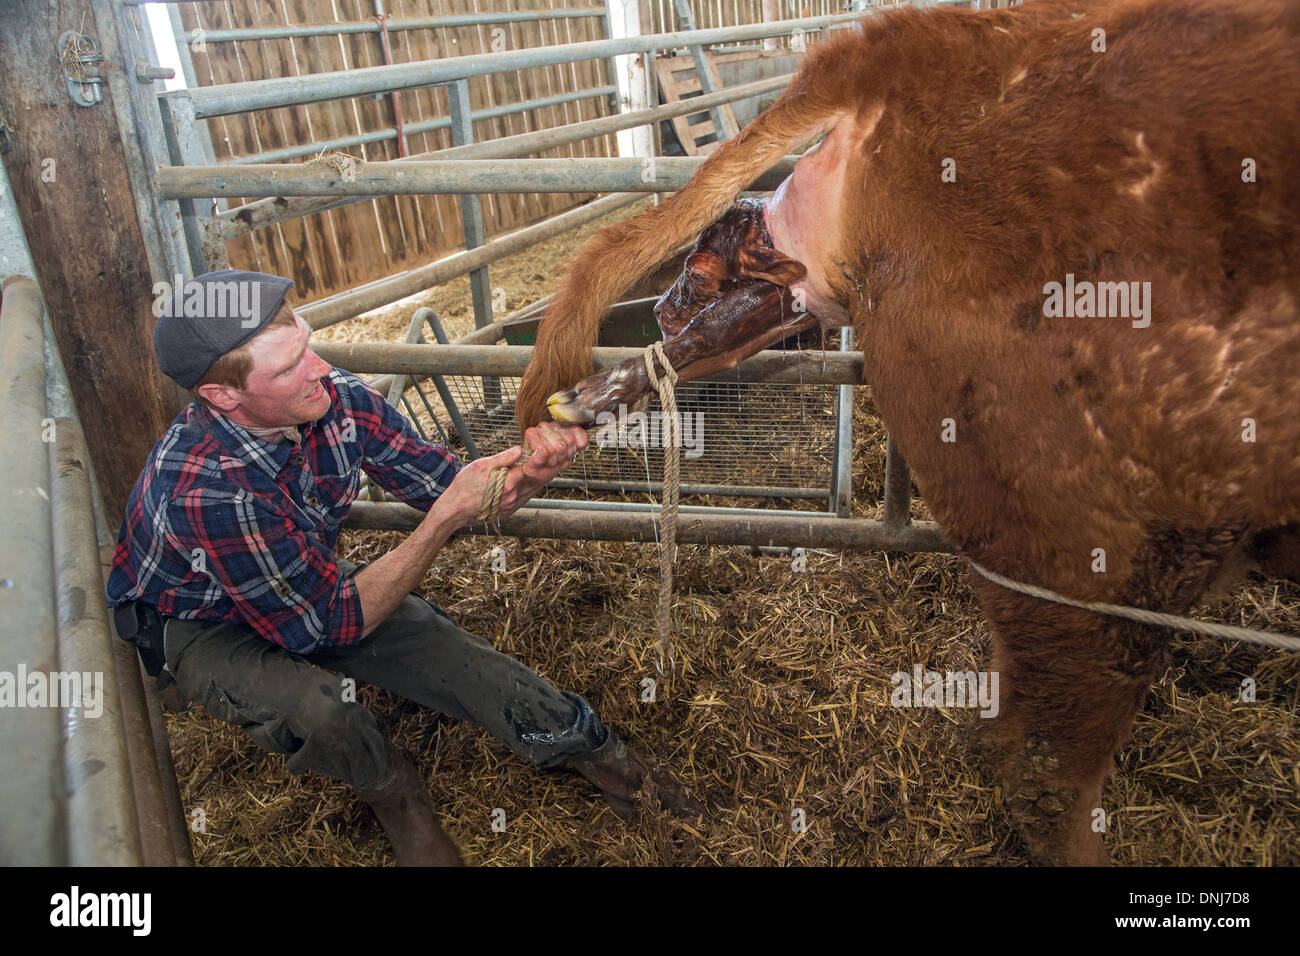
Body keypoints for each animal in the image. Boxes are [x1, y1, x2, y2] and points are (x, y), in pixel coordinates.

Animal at [515, 0, 1300, 864]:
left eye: (698, 271)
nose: (664, 300)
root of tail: (905, 45)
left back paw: (584, 399)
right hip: (1090, 538)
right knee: (1052, 757)